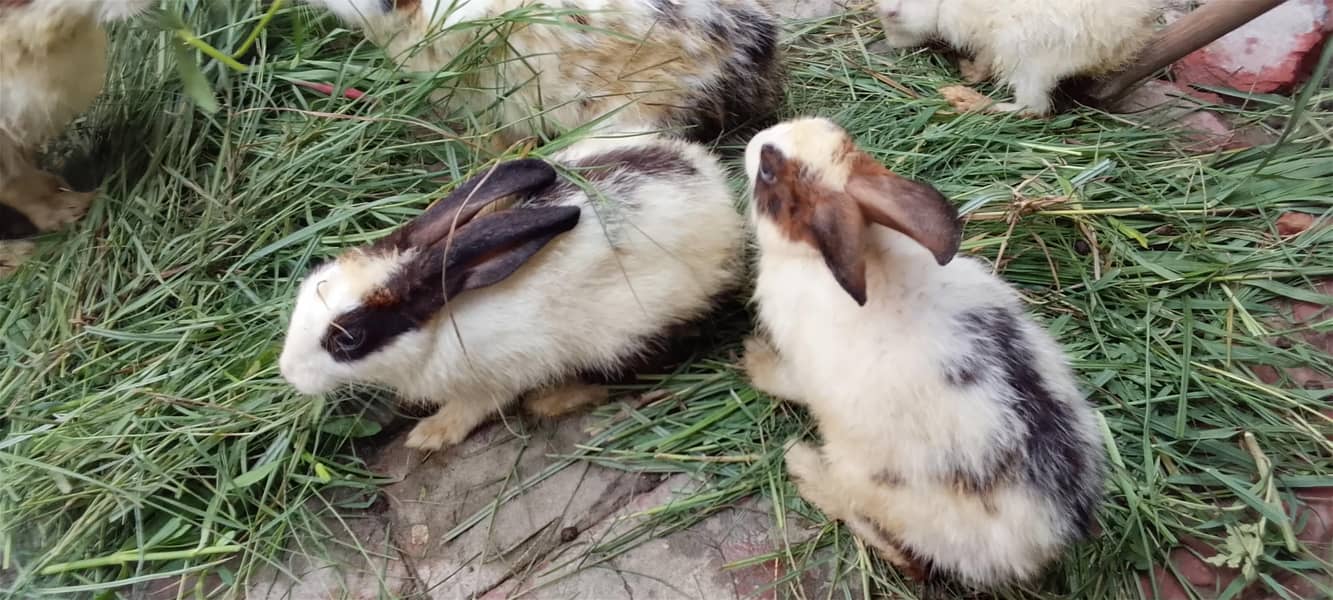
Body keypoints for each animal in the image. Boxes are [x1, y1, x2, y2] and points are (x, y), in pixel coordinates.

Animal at [278, 134, 745, 451]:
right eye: (310, 285)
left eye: (349, 338)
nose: (288, 373)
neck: (440, 321)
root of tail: (718, 196)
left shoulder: (498, 375)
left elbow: (473, 408)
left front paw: (429, 434)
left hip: (631, 330)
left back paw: (554, 400)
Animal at [739, 117, 1106, 587]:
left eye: (769, 171)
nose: (754, 142)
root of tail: (1047, 541)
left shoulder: (802, 369)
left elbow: (784, 381)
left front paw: (753, 359)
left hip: (870, 482)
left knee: (902, 555)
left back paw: (802, 463)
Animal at [875, 0, 1159, 115]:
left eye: (894, 19)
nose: (892, 44)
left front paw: (968, 75)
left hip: (1026, 57)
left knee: (1033, 107)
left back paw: (966, 100)